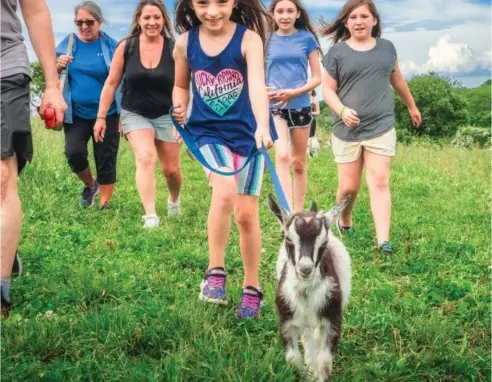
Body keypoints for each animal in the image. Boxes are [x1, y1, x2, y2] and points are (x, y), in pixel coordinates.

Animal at [268, 194, 352, 382]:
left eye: (324, 242)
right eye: (288, 239)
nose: (305, 269)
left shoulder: (334, 318)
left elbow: (325, 360)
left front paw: (320, 376)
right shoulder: (286, 319)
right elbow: (293, 358)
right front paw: (308, 375)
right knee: (307, 337)